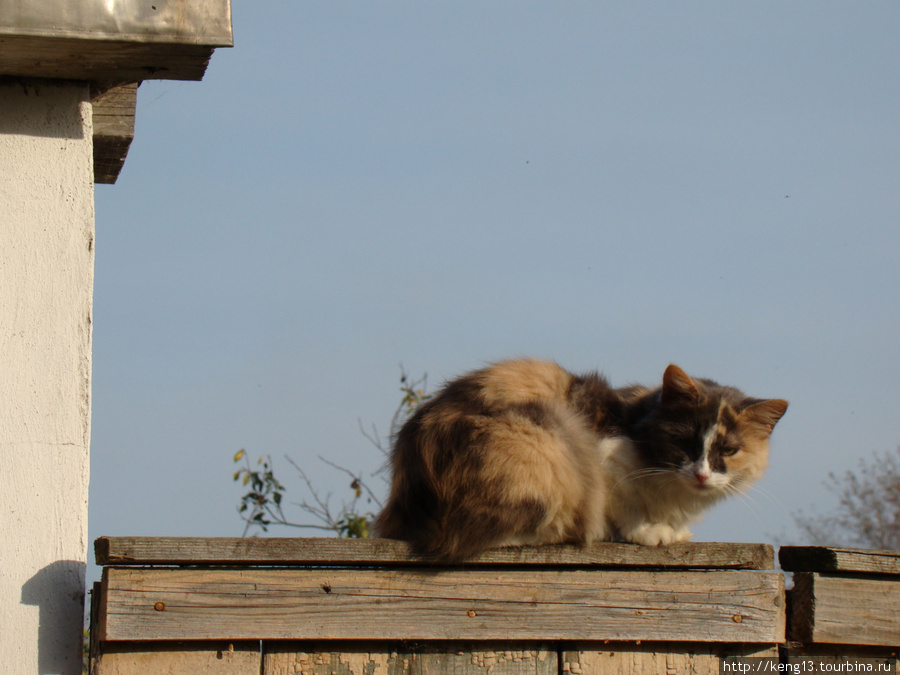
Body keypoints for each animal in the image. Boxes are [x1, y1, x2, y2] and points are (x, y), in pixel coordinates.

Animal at [372, 362, 788, 564]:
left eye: (728, 450)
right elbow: (626, 507)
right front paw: (650, 532)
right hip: (547, 437)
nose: (701, 473)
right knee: (470, 537)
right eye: (685, 441)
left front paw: (673, 529)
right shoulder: (605, 458)